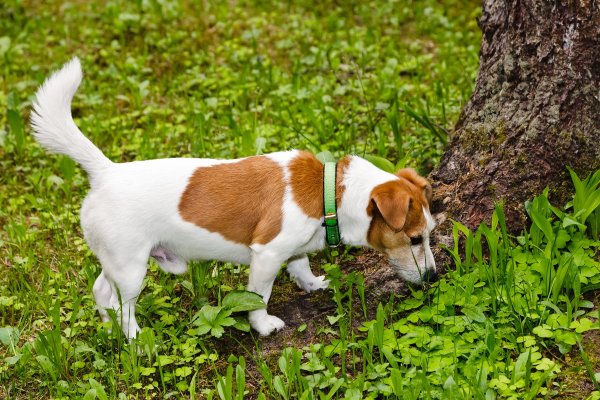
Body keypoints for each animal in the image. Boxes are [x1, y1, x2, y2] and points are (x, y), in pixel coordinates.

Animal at [31, 58, 436, 338]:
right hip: (131, 267)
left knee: (101, 292)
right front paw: (264, 324)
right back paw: (135, 338)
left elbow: (302, 266)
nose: (433, 276)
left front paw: (312, 284)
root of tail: (106, 172)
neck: (328, 191)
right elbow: (259, 296)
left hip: (118, 261)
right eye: (415, 238)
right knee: (117, 300)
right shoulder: (267, 255)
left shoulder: (294, 250)